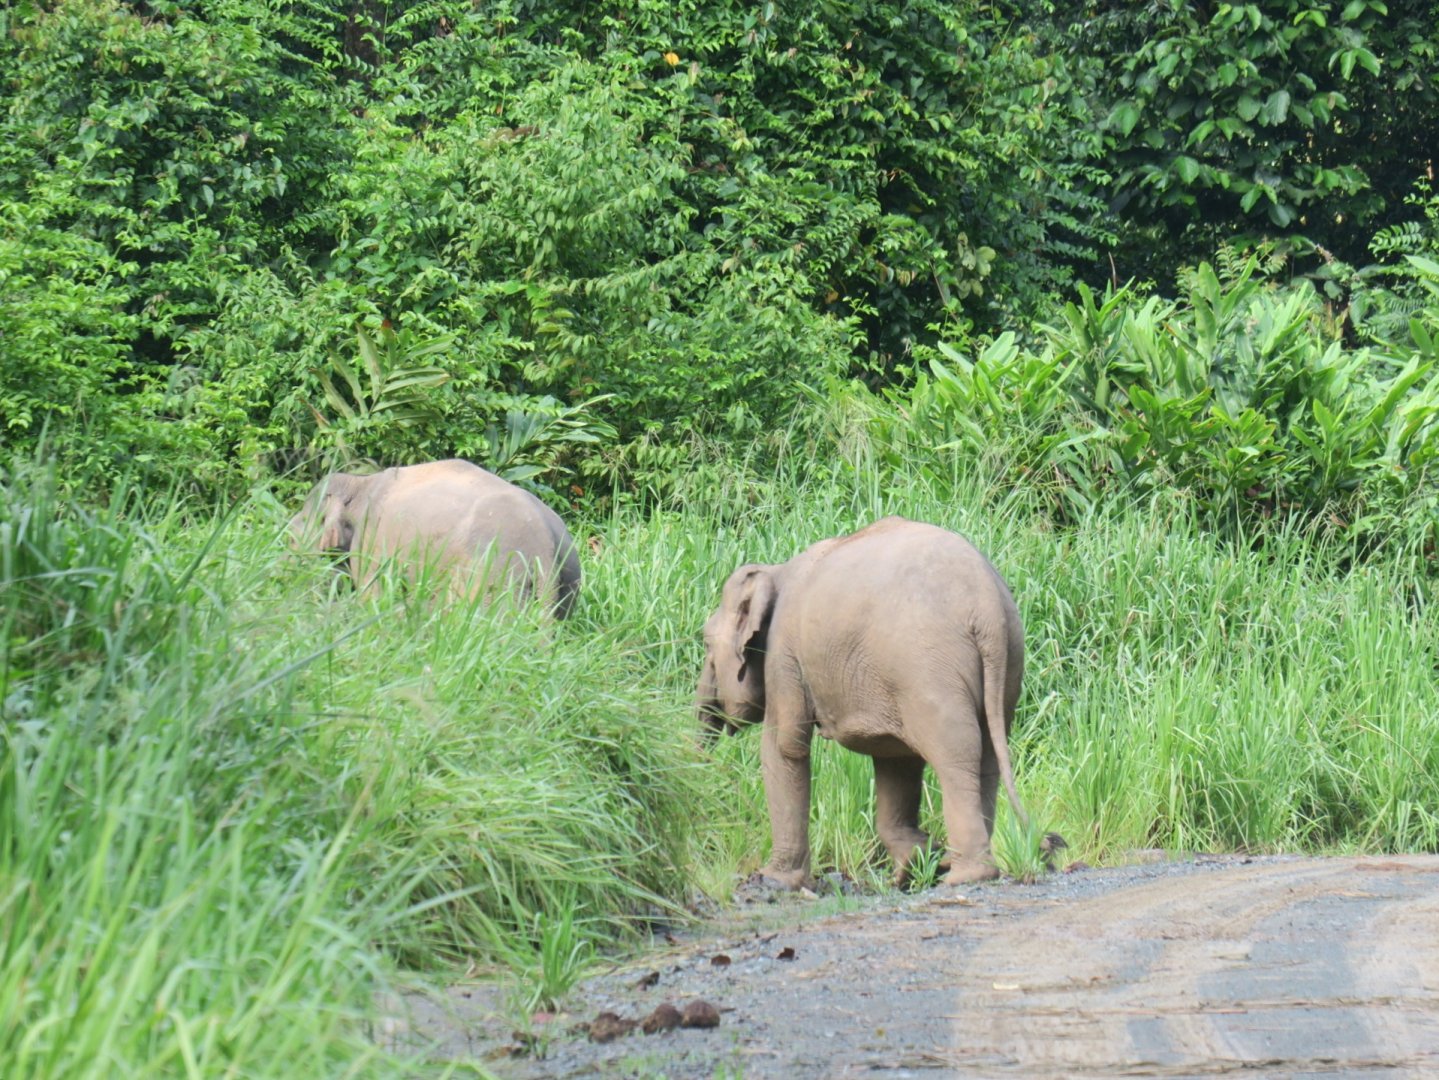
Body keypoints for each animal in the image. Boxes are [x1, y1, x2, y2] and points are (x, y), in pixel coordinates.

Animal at [288, 458, 581, 617]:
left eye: (290, 538)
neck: (361, 482)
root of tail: (544, 544)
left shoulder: (372, 540)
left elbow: (371, 595)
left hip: (491, 575)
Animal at [696, 516, 1030, 888]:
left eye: (706, 643)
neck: (775, 570)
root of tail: (987, 605)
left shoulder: (784, 656)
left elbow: (784, 748)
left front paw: (776, 880)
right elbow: (896, 759)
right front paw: (915, 862)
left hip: (928, 670)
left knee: (956, 752)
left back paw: (965, 876)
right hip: (1006, 662)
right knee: (988, 753)